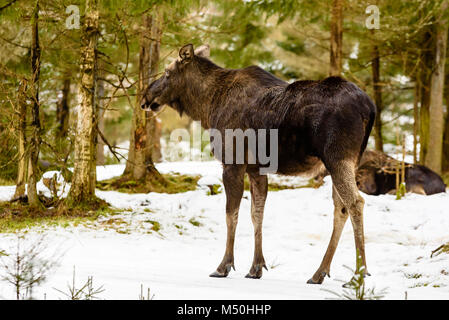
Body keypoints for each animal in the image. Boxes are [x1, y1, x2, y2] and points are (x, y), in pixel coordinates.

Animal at [140, 43, 374, 284]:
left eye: (167, 72)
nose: (145, 97)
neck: (206, 106)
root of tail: (369, 108)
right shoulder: (256, 168)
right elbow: (257, 214)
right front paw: (256, 267)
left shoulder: (232, 162)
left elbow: (231, 215)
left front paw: (224, 266)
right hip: (345, 162)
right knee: (341, 208)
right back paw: (319, 273)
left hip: (337, 158)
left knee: (356, 203)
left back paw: (359, 274)